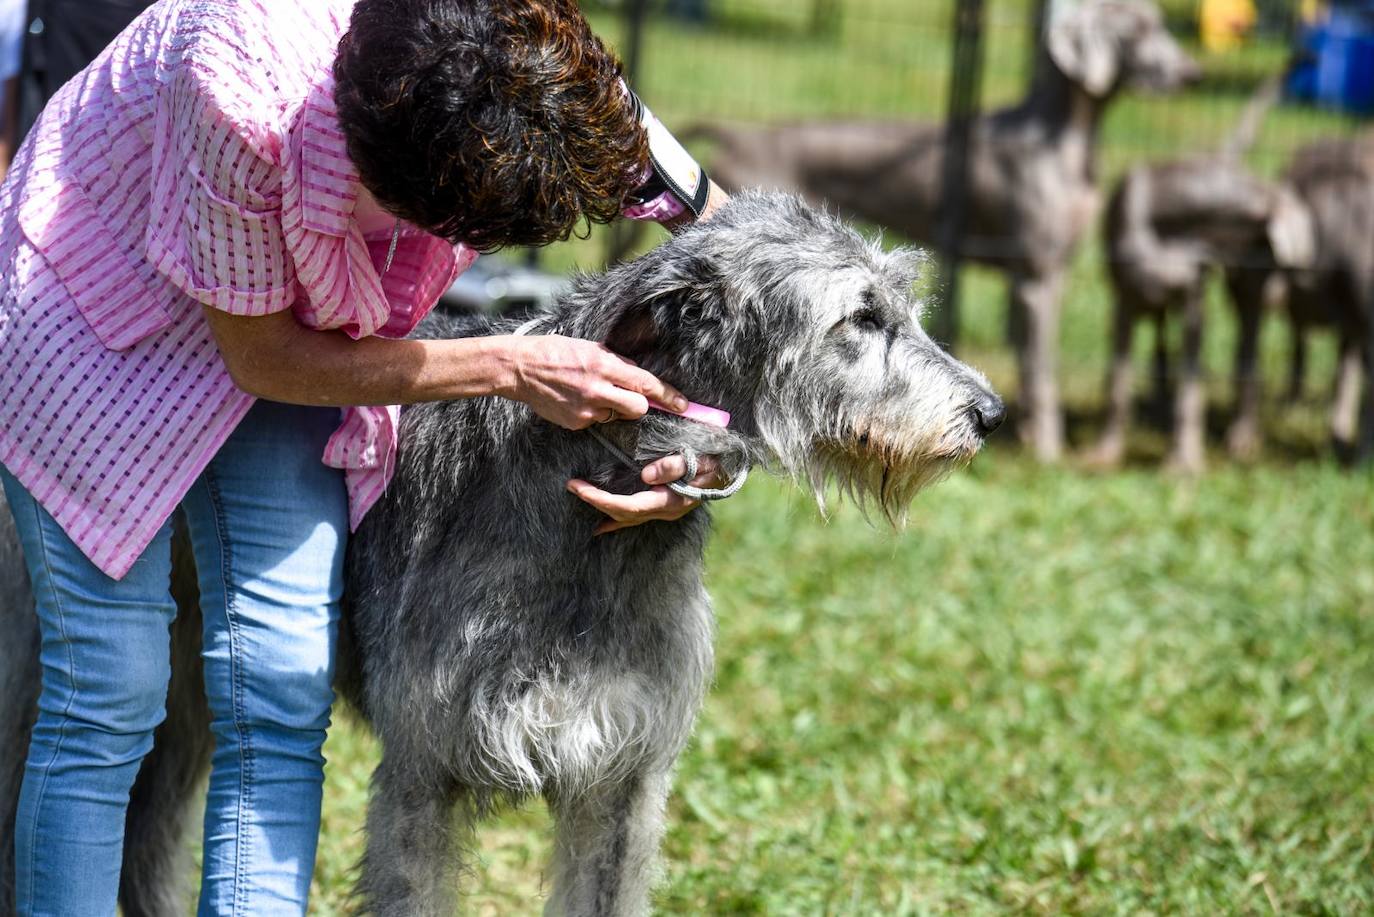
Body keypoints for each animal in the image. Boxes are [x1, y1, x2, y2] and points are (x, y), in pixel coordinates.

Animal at [5, 192, 1005, 912]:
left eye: (901, 305)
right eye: (861, 318)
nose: (990, 413)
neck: (586, 525)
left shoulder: (622, 782)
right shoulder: (421, 774)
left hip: (188, 704)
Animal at [659, 0, 1198, 459]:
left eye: (1160, 23)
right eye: (1138, 31)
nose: (1189, 73)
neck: (1061, 142)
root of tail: (742, 133)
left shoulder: (1051, 275)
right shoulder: (1035, 279)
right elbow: (1041, 369)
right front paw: (1047, 451)